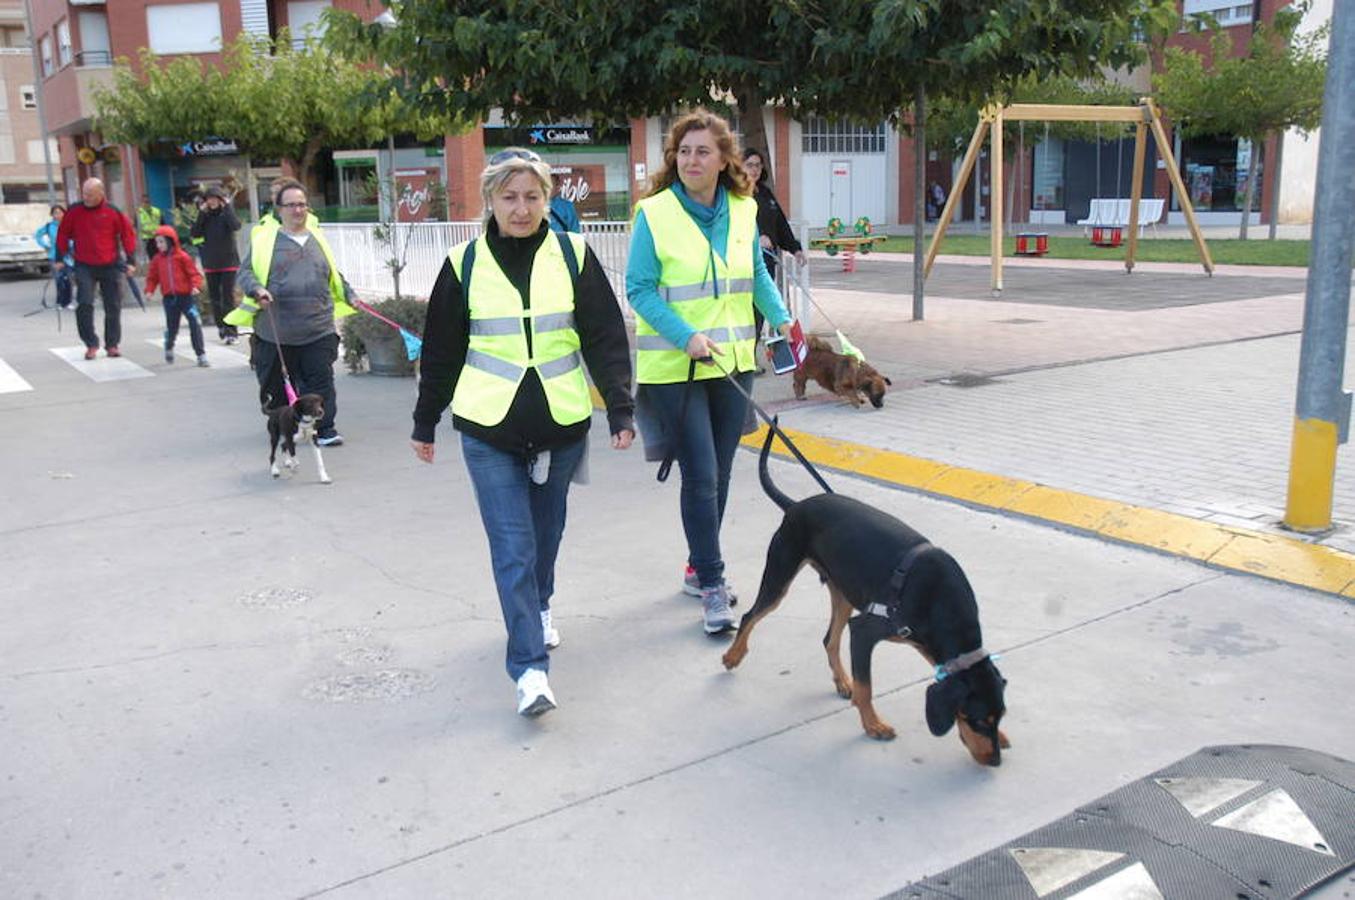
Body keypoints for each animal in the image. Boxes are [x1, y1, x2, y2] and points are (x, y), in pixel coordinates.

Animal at [720, 425, 1008, 764]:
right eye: (977, 720)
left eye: (999, 716)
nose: (995, 761)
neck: (939, 602)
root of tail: (796, 506)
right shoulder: (865, 631)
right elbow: (866, 687)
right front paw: (873, 725)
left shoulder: (924, 641)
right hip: (780, 574)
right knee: (750, 616)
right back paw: (732, 656)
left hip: (842, 592)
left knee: (829, 639)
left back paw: (842, 682)